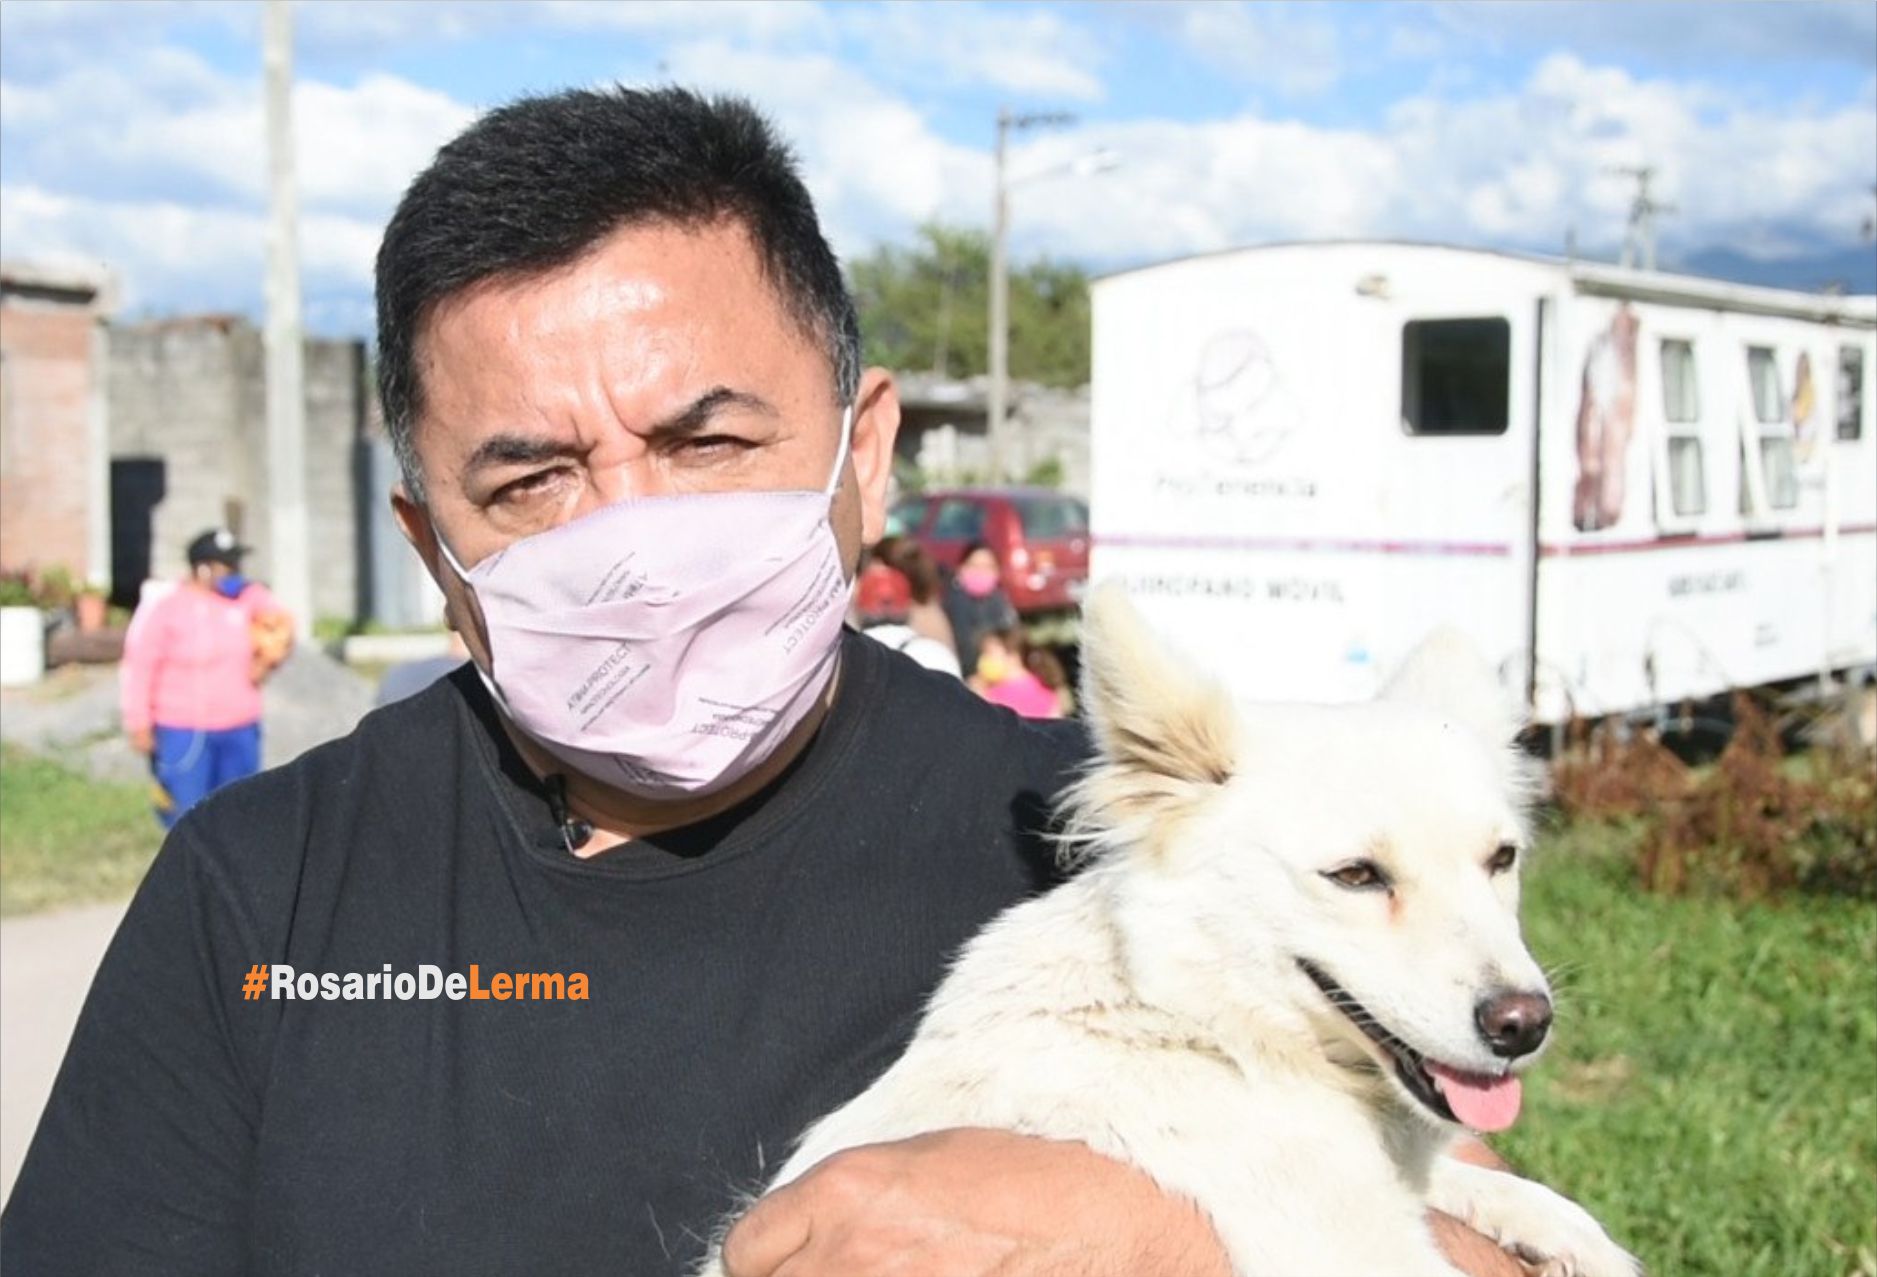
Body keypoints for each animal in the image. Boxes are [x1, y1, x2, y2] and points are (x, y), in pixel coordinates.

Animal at [698, 589, 1636, 1277]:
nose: (1523, 1024)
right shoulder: (1346, 1244)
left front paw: (1567, 1231)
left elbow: (1476, 1180)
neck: (1194, 1021)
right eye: (1356, 876)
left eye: (1501, 858)